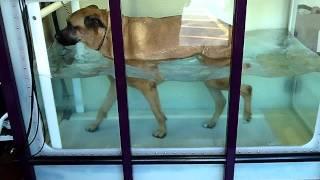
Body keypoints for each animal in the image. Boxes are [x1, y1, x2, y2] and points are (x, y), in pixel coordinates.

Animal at [55, 4, 252, 139]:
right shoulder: (116, 86)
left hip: (217, 76)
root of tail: (229, 27)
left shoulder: (147, 86)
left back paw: (248, 116)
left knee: (247, 89)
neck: (109, 33)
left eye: (71, 26)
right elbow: (103, 109)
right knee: (221, 101)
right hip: (209, 77)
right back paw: (211, 123)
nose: (55, 37)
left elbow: (156, 112)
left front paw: (162, 131)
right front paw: (94, 126)